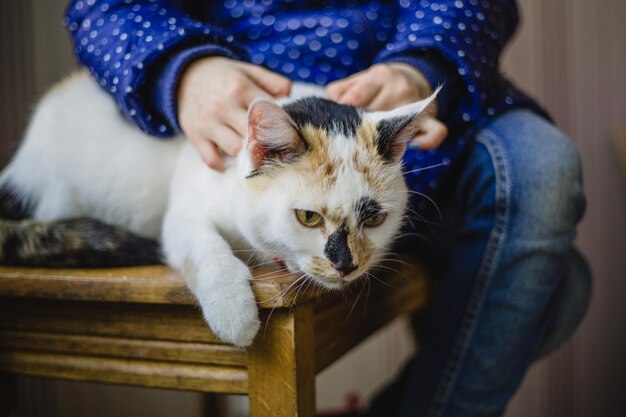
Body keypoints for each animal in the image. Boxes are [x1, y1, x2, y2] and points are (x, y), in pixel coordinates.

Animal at [0, 70, 436, 344]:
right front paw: (233, 312)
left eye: (374, 218)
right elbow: (205, 248)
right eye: (308, 217)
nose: (346, 265)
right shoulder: (183, 210)